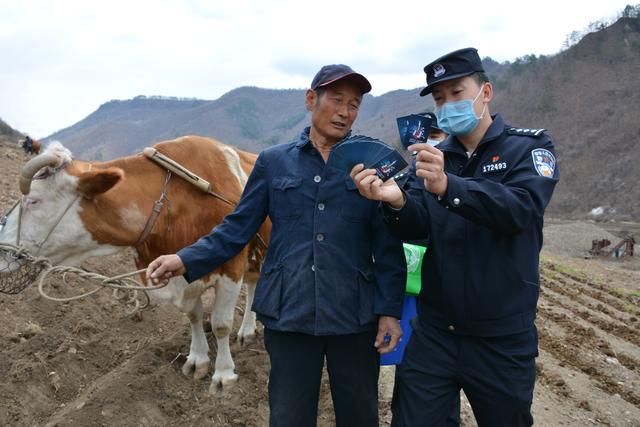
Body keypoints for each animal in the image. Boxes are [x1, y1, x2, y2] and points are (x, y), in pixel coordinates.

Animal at [0, 137, 272, 394]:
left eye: (33, 201)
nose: (2, 248)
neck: (173, 202)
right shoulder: (181, 273)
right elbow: (194, 316)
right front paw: (198, 359)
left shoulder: (231, 267)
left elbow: (220, 324)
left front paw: (224, 375)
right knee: (254, 286)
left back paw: (247, 331)